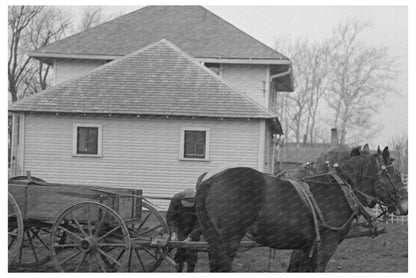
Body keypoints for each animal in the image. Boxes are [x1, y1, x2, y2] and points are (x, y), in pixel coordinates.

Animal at [195, 148, 406, 272]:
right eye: (395, 174)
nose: (404, 205)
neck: (339, 190)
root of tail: (212, 180)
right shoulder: (327, 246)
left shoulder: (305, 248)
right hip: (228, 241)